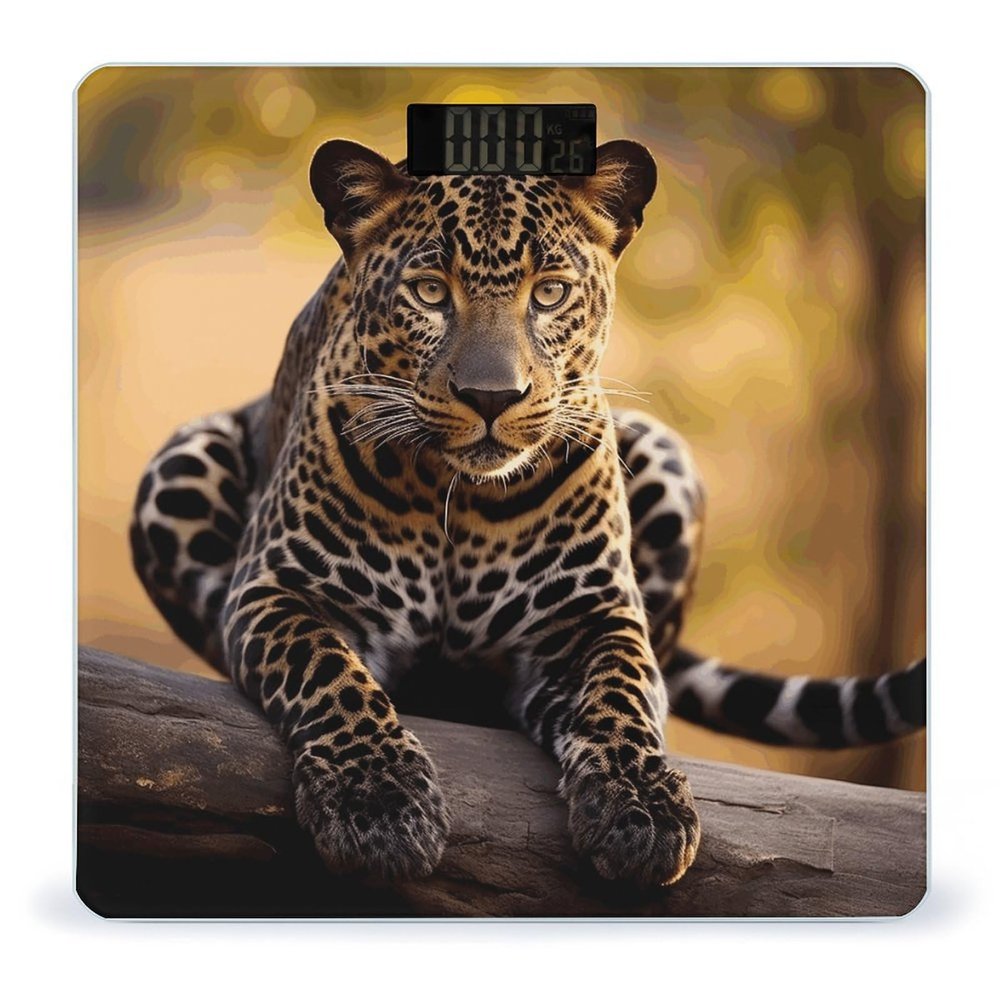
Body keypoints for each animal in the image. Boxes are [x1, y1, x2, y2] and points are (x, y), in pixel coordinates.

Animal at [130, 138, 926, 888]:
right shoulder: (279, 589)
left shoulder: (590, 617)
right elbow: (328, 672)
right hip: (178, 463)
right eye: (429, 291)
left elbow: (621, 692)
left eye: (549, 293)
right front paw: (380, 805)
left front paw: (642, 810)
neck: (458, 497)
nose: (492, 397)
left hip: (664, 453)